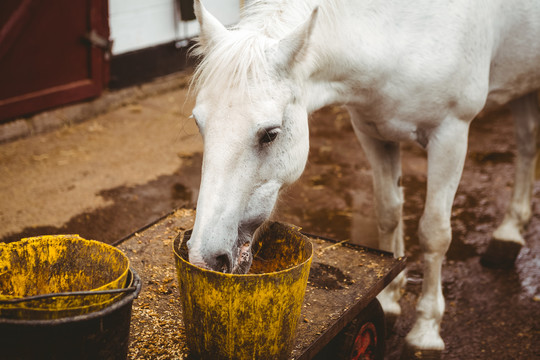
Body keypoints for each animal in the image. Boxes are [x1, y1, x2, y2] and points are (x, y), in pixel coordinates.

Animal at [187, 0, 540, 354]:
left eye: (270, 134)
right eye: (199, 124)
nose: (205, 259)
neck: (398, 29)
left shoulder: (450, 134)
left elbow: (434, 233)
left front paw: (426, 330)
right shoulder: (374, 132)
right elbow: (388, 214)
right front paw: (390, 298)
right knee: (527, 145)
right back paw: (509, 234)